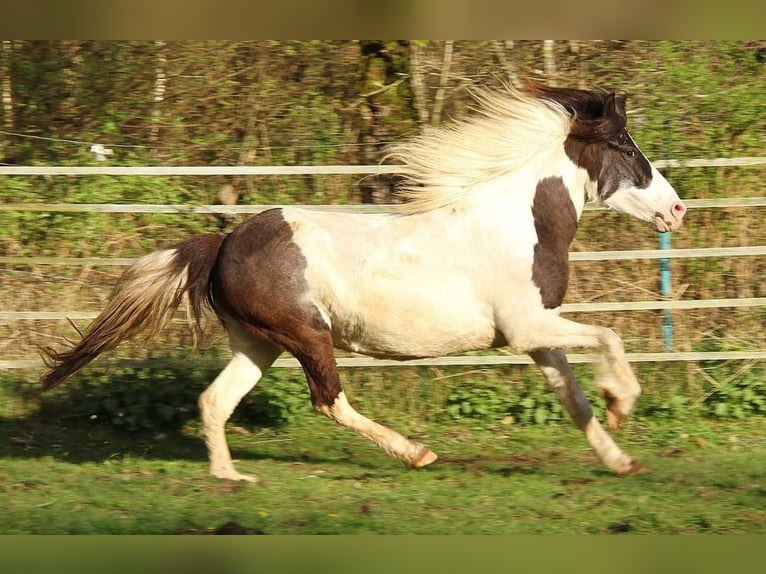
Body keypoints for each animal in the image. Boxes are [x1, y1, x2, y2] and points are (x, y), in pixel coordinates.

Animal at [42, 83, 688, 484]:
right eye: (626, 147)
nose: (677, 210)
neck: (517, 223)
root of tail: (221, 243)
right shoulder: (528, 326)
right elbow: (610, 338)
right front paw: (623, 402)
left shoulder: (537, 335)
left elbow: (573, 398)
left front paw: (620, 458)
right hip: (307, 336)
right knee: (328, 400)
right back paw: (417, 453)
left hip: (259, 344)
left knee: (214, 400)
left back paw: (231, 477)